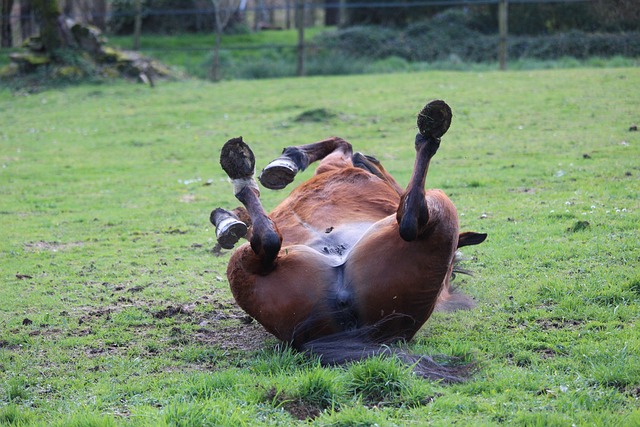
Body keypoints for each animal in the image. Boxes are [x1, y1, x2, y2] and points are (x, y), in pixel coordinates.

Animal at [210, 100, 484, 382]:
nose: (368, 158)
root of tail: (347, 328)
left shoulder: (332, 164)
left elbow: (340, 142)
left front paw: (287, 161)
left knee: (270, 240)